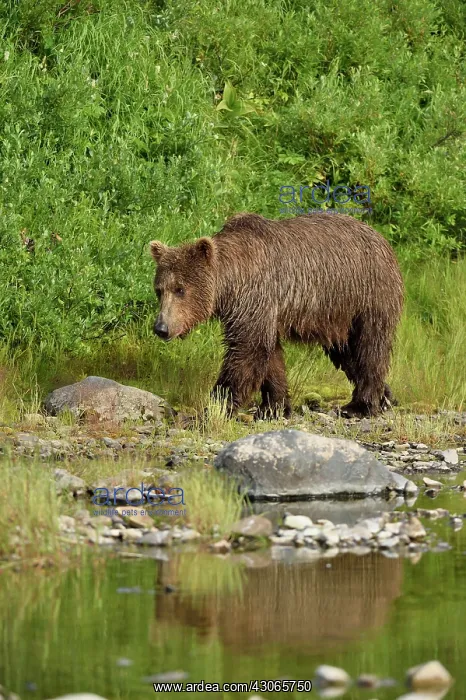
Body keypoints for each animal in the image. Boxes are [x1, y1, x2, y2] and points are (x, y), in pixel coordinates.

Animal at [149, 212, 404, 418]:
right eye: (159, 290)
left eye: (180, 289)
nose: (161, 328)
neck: (232, 283)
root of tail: (383, 239)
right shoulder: (263, 311)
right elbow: (271, 356)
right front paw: (274, 407)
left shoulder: (256, 297)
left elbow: (247, 350)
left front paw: (214, 407)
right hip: (338, 316)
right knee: (346, 353)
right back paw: (385, 396)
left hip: (367, 295)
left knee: (369, 346)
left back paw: (360, 405)